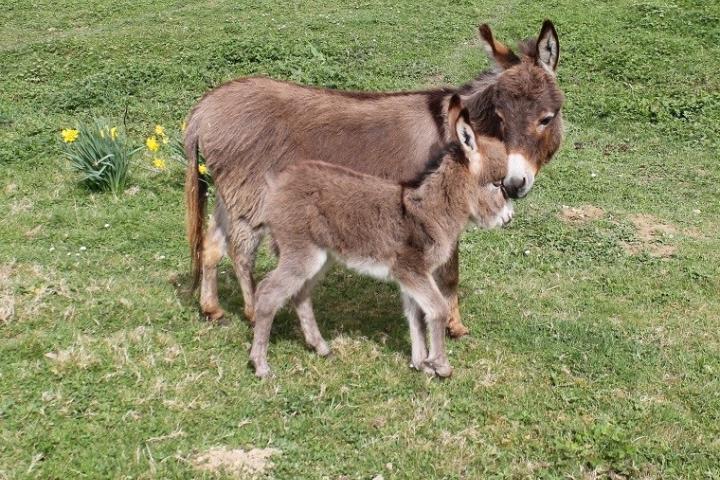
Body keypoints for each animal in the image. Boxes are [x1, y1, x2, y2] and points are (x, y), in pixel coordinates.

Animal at [250, 95, 510, 376]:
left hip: (321, 257)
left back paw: (320, 347)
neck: (433, 210)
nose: (508, 218)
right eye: (497, 184)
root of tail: (278, 184)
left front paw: (421, 364)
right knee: (268, 293)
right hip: (301, 253)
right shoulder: (411, 269)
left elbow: (416, 316)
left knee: (301, 293)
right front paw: (441, 366)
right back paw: (261, 365)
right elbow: (438, 310)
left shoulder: (412, 276)